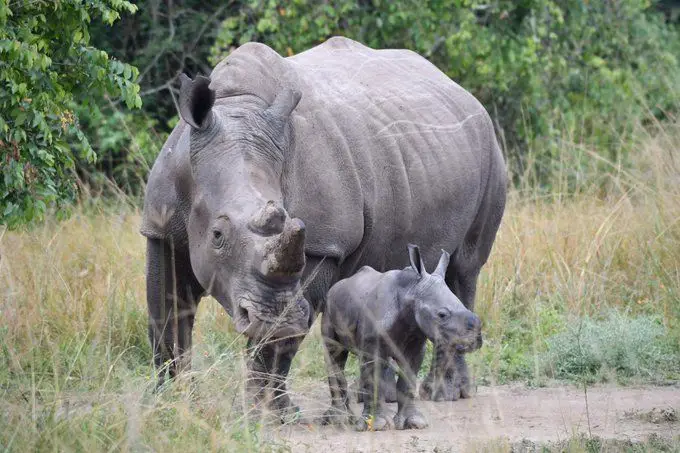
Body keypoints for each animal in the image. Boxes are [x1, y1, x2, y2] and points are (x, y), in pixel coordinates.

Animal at [140, 36, 507, 418]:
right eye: (217, 236)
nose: (276, 317)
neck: (238, 106)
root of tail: (461, 90)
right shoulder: (161, 228)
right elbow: (167, 317)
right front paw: (170, 403)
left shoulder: (323, 245)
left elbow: (278, 343)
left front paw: (267, 412)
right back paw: (378, 395)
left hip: (489, 149)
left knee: (465, 268)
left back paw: (444, 393)